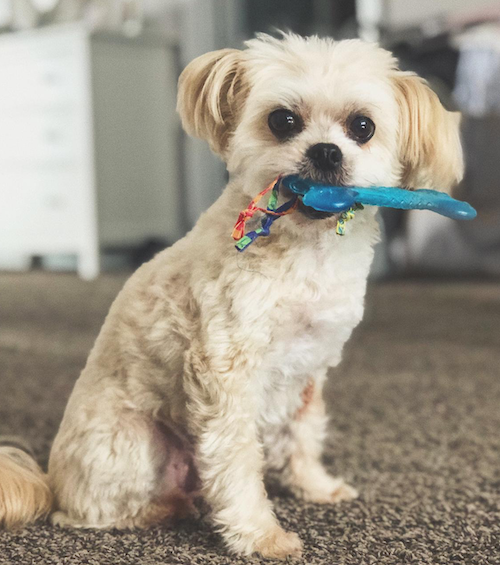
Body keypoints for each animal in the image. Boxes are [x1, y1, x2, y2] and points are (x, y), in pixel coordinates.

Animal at [0, 33, 464, 556]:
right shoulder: (225, 369)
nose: (326, 152)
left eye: (362, 126)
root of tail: (49, 478)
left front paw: (315, 487)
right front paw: (261, 535)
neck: (306, 250)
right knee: (94, 513)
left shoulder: (309, 371)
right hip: (136, 443)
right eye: (282, 120)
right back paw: (169, 508)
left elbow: (303, 436)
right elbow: (236, 461)